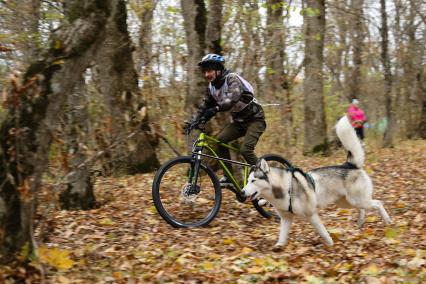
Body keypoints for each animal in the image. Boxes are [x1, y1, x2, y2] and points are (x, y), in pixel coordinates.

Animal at [241, 115, 392, 248]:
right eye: (247, 181)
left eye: (253, 180)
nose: (242, 192)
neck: (286, 188)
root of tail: (349, 165)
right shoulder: (286, 219)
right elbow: (282, 235)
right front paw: (279, 246)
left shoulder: (311, 215)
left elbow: (323, 232)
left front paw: (331, 245)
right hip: (346, 202)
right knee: (362, 208)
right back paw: (360, 222)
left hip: (355, 200)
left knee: (378, 203)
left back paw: (387, 220)